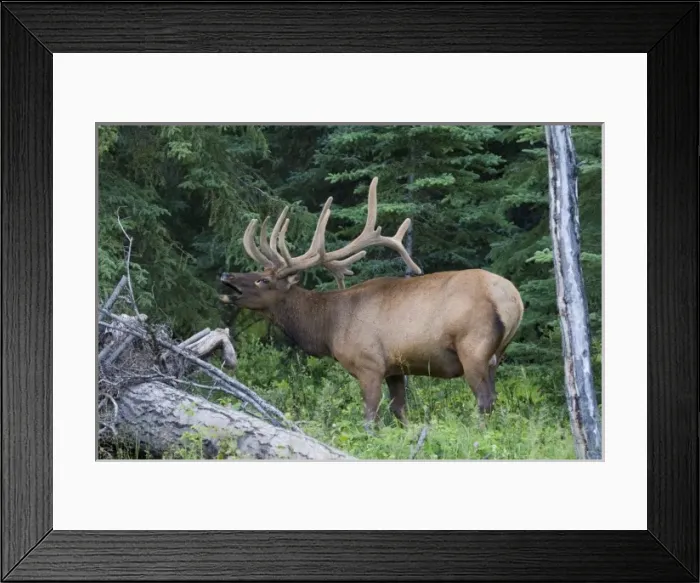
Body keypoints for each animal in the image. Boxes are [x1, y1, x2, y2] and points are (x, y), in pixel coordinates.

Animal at [220, 177, 524, 433]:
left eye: (263, 280)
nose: (226, 275)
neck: (329, 328)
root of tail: (514, 299)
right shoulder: (395, 369)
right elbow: (400, 413)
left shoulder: (369, 364)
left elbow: (370, 419)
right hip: (497, 354)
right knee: (494, 398)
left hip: (473, 346)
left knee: (484, 400)